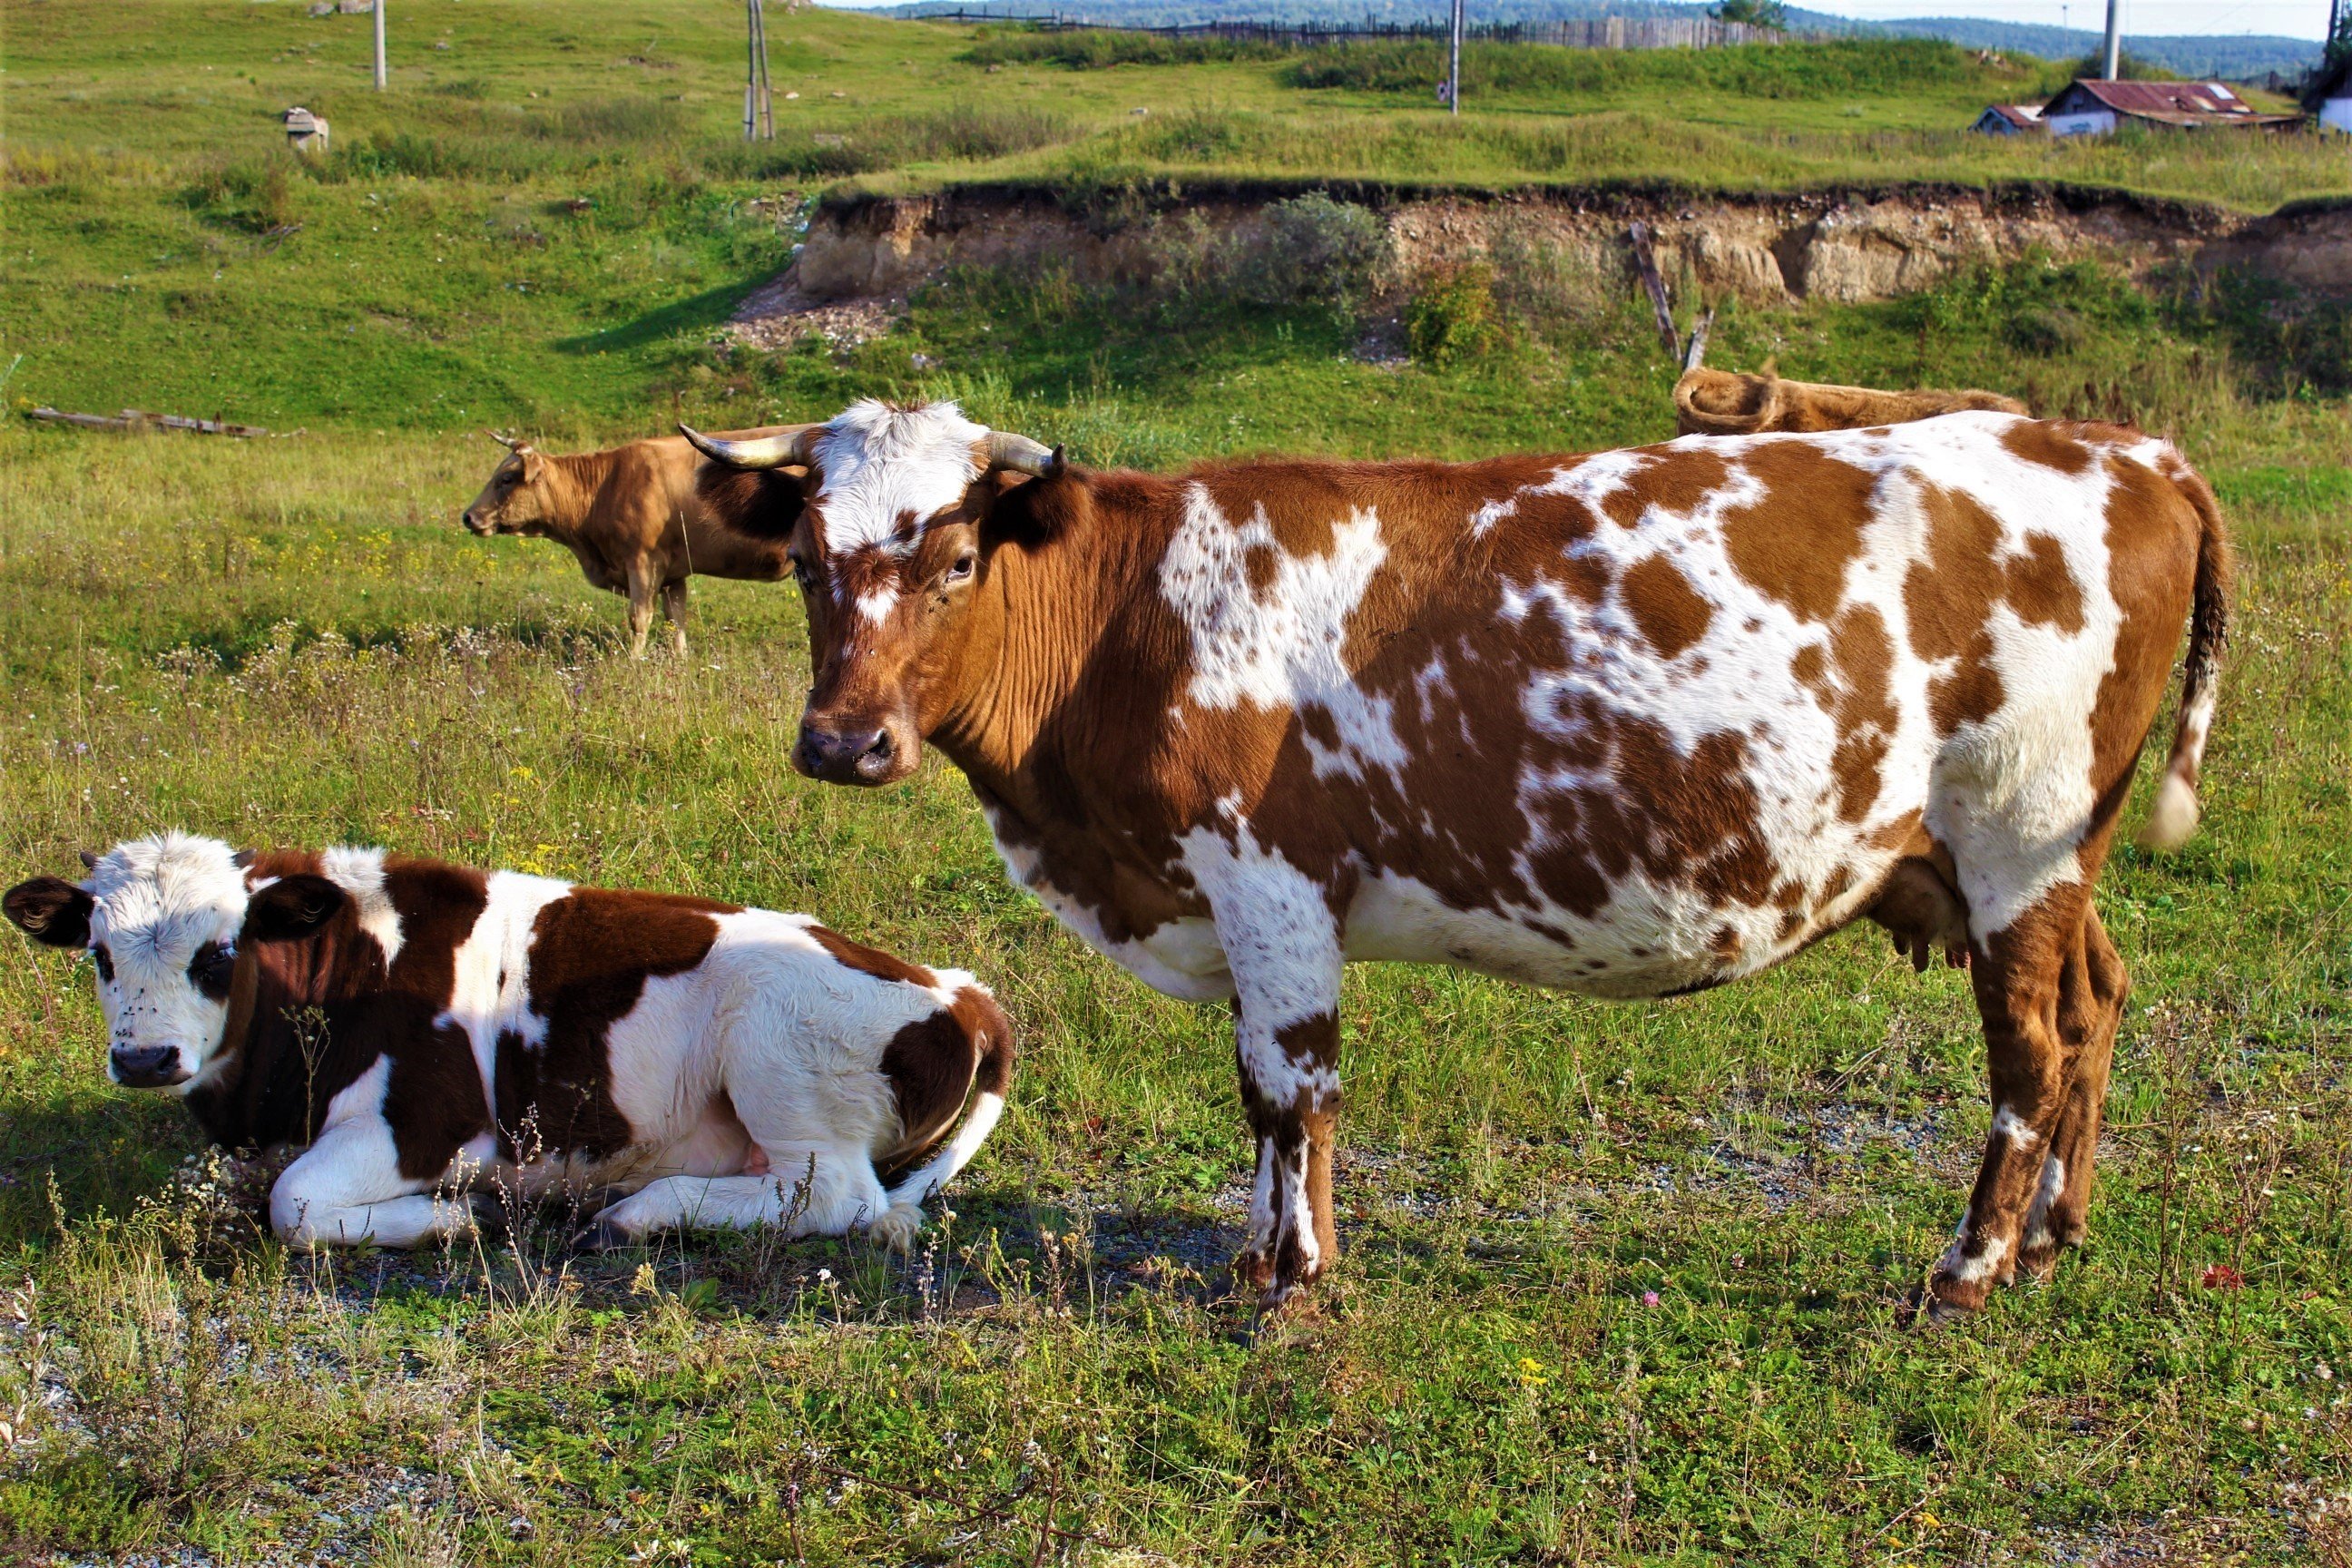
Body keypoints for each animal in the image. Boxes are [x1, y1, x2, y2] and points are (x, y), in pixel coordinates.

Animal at [9, 832, 1020, 1250]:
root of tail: (956, 989)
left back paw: (637, 1211)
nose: (146, 1058)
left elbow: (292, 1207)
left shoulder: (426, 1123)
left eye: (218, 953)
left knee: (835, 1197)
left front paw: (450, 1218)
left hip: (774, 1052)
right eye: (98, 953)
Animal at [458, 425, 808, 658]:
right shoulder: (673, 575)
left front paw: (634, 661)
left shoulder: (642, 562)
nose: (469, 517)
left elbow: (638, 619)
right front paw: (680, 659)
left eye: (506, 479)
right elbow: (675, 619)